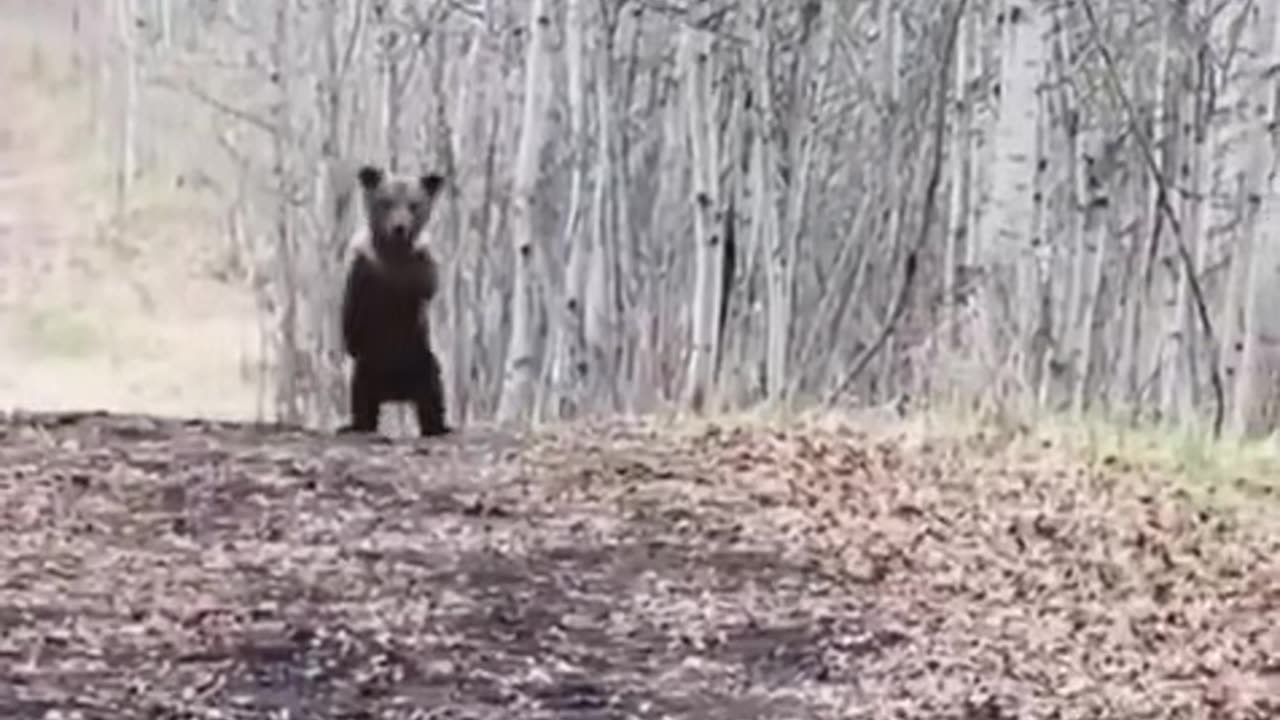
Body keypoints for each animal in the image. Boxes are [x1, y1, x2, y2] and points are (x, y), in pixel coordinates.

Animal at [336, 163, 452, 438]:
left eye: (414, 205)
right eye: (386, 202)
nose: (399, 227)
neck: (394, 257)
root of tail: (395, 393)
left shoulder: (421, 268)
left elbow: (426, 289)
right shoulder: (363, 268)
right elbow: (351, 313)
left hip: (422, 363)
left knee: (433, 394)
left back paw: (439, 427)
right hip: (368, 371)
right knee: (361, 400)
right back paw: (355, 426)